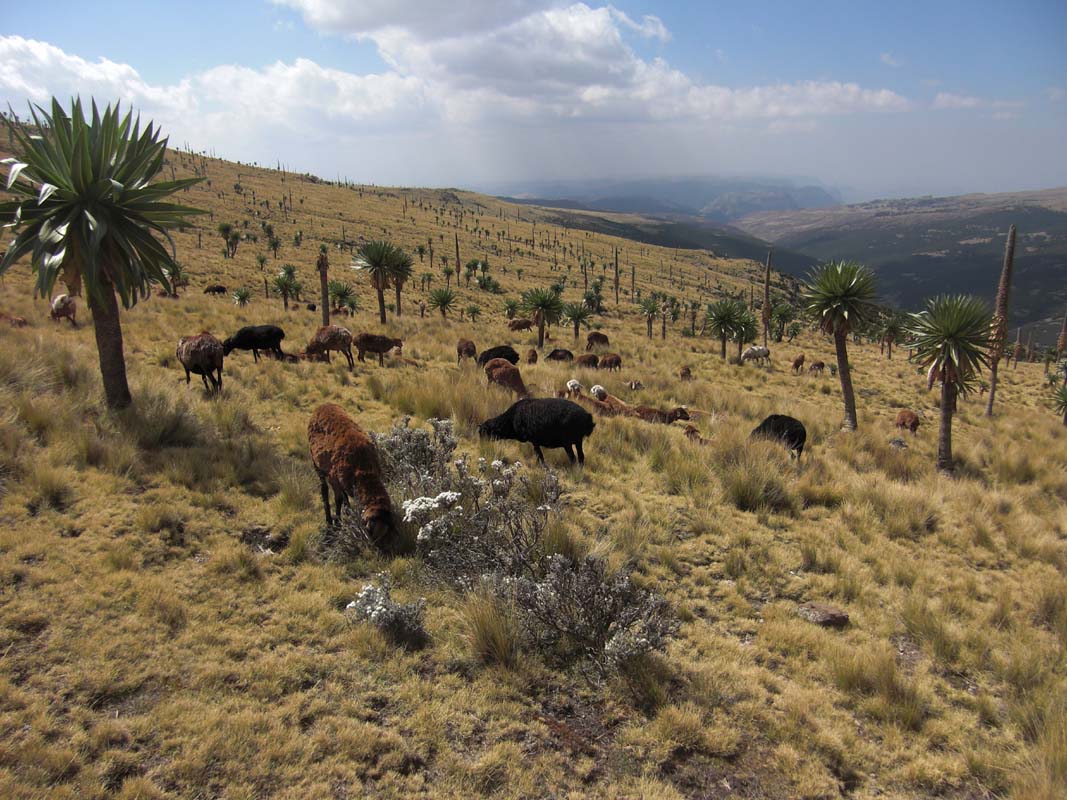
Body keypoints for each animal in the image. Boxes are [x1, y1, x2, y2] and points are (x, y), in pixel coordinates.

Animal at [307, 403, 399, 550]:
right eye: (370, 531)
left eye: (385, 534)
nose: (377, 550)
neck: (363, 471)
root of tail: (323, 405)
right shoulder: (333, 478)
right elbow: (338, 499)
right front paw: (338, 525)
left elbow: (343, 498)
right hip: (315, 462)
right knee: (324, 490)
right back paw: (329, 520)